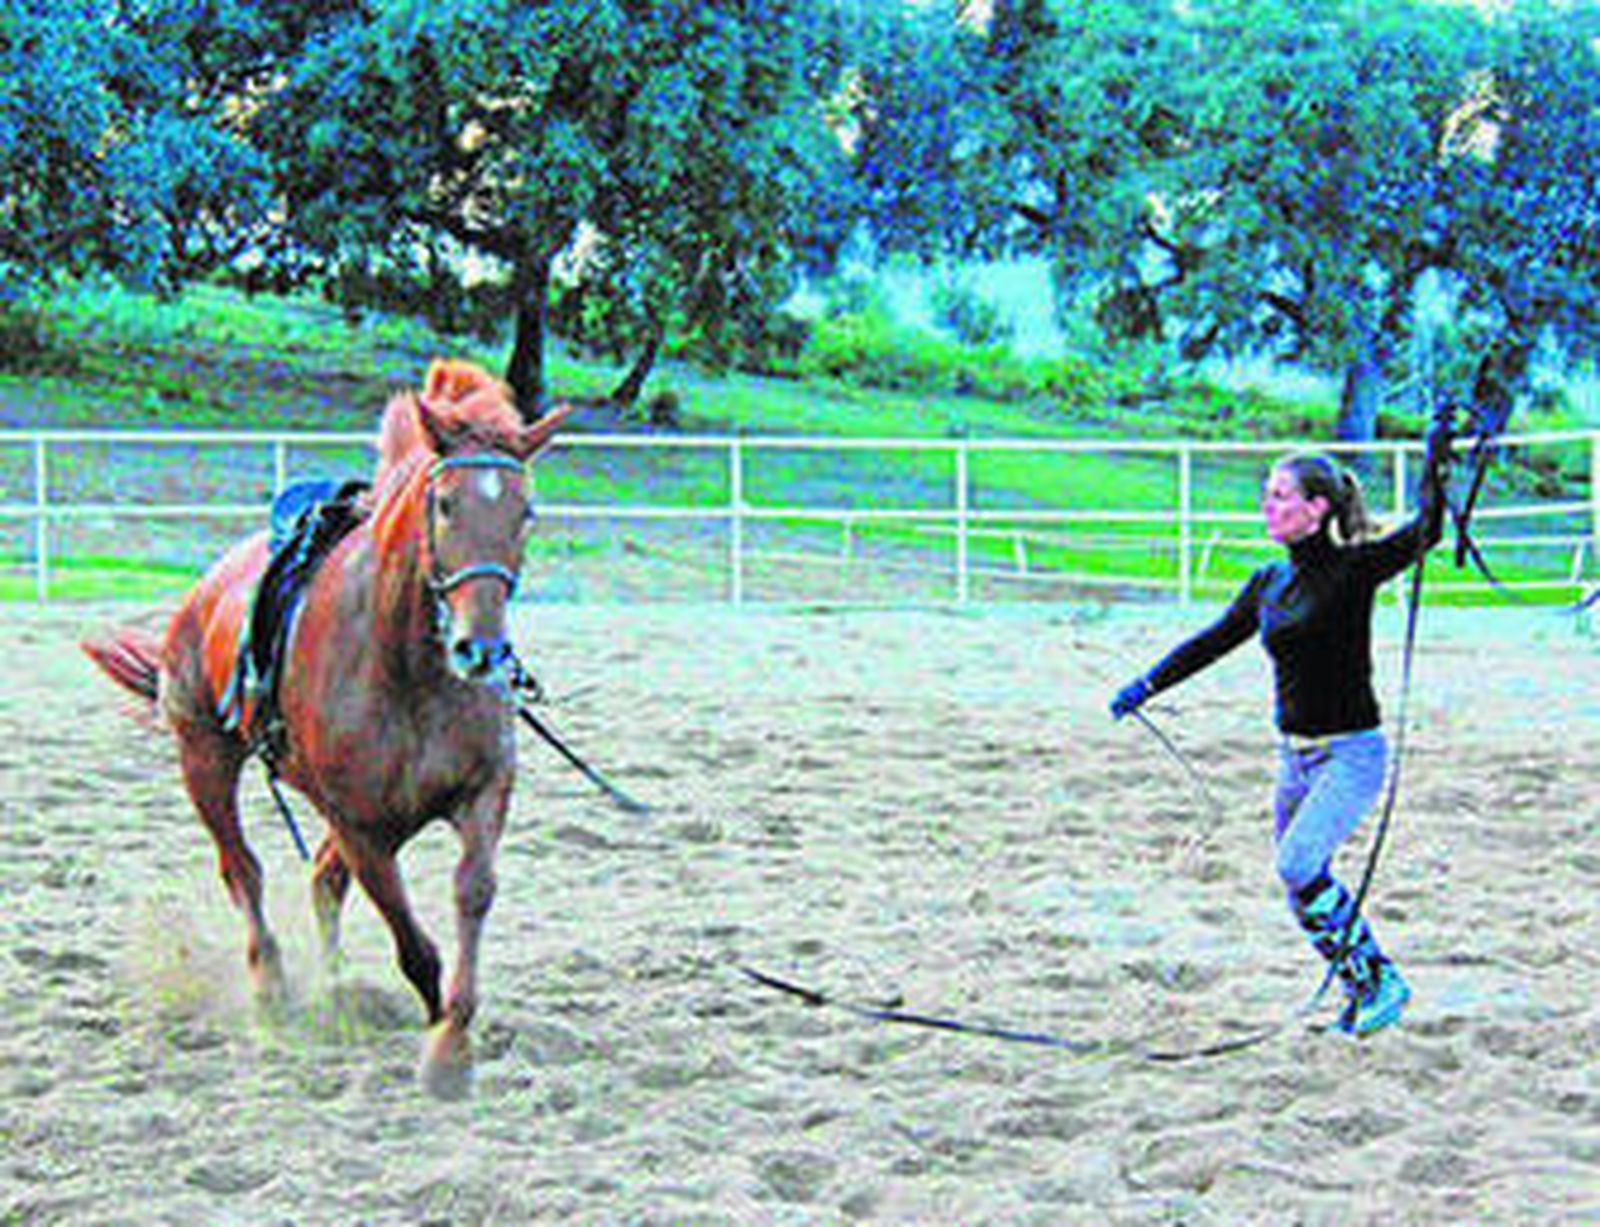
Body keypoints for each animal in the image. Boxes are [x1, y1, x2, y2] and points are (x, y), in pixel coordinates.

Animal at [83, 359, 571, 1098]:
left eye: (526, 512)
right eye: (445, 503)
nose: (481, 652)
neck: (409, 668)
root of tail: (204, 593)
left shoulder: (481, 793)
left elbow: (471, 893)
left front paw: (453, 1039)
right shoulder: (363, 827)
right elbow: (415, 948)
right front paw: (440, 1048)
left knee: (319, 879)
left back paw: (337, 992)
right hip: (205, 761)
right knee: (244, 870)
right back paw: (273, 990)